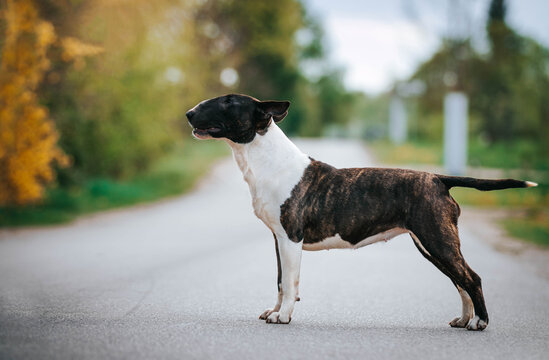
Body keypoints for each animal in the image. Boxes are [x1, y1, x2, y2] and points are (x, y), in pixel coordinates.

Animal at [186, 93, 536, 332]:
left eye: (229, 102)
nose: (188, 113)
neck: (267, 160)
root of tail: (438, 178)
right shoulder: (278, 239)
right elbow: (280, 281)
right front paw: (273, 311)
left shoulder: (291, 238)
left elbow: (290, 282)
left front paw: (283, 316)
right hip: (430, 245)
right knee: (459, 279)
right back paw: (464, 319)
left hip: (437, 239)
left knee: (471, 277)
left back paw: (480, 322)